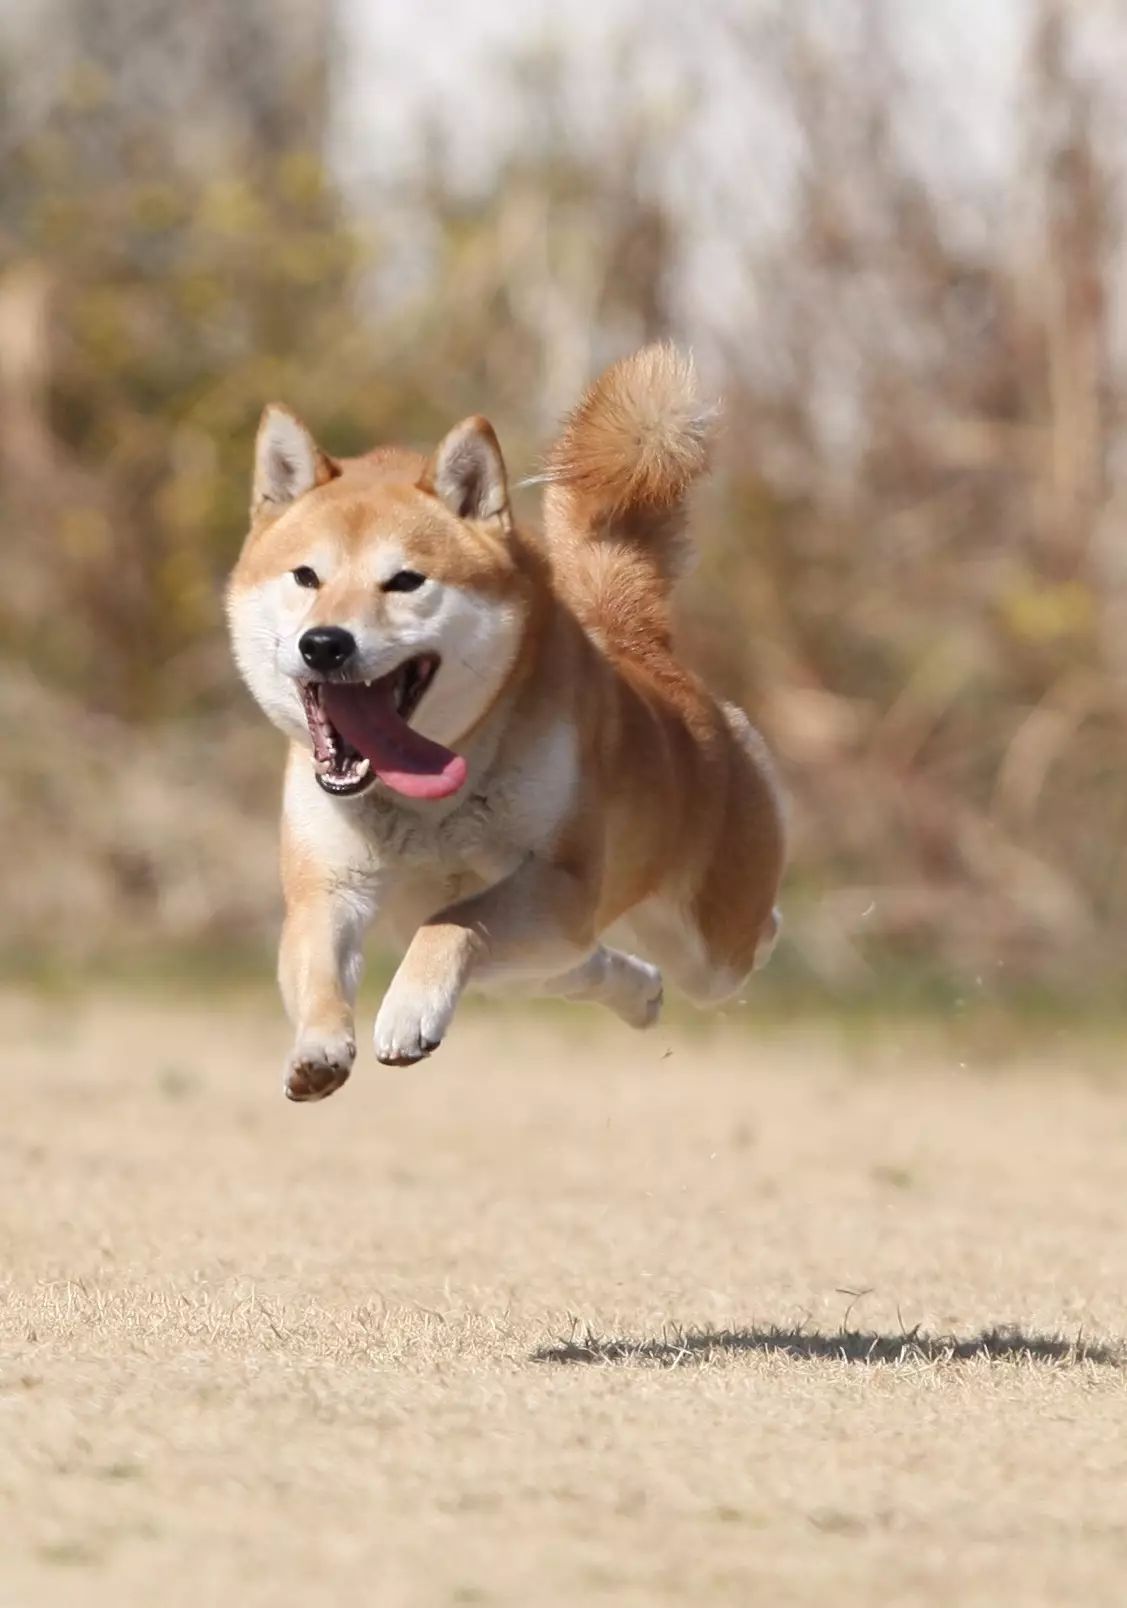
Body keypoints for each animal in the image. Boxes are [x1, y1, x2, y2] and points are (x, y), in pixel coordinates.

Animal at [223, 348, 778, 1106]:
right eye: (306, 576)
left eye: (405, 581)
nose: (325, 644)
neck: (425, 794)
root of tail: (641, 646)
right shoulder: (328, 888)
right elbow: (316, 972)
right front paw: (319, 1048)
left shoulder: (558, 883)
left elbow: (449, 921)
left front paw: (407, 1010)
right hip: (552, 957)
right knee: (587, 965)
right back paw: (639, 994)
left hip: (703, 945)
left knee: (736, 940)